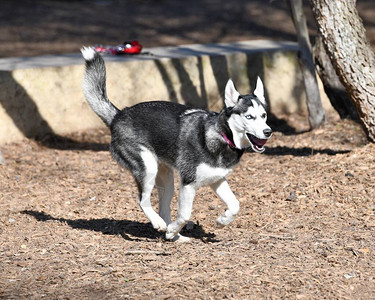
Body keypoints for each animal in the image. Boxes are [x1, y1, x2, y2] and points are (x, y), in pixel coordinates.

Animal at [81, 47, 272, 244]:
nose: (268, 132)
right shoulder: (188, 183)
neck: (221, 135)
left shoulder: (217, 179)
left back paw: (173, 236)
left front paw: (222, 220)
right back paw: (161, 225)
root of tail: (118, 116)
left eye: (264, 115)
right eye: (249, 117)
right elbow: (185, 214)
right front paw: (174, 228)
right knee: (143, 200)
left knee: (163, 208)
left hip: (167, 180)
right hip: (148, 169)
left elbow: (235, 205)